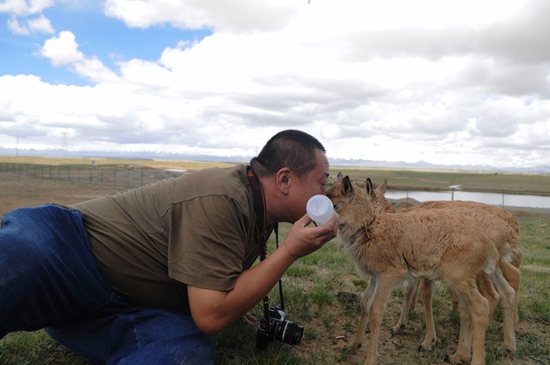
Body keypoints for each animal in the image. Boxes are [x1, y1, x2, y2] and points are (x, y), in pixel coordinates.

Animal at [328, 176, 516, 364]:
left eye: (335, 204)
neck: (371, 228)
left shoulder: (389, 275)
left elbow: (378, 309)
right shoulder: (375, 277)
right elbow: (365, 304)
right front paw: (353, 345)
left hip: (462, 277)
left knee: (482, 305)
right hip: (473, 276)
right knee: (498, 296)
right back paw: (478, 352)